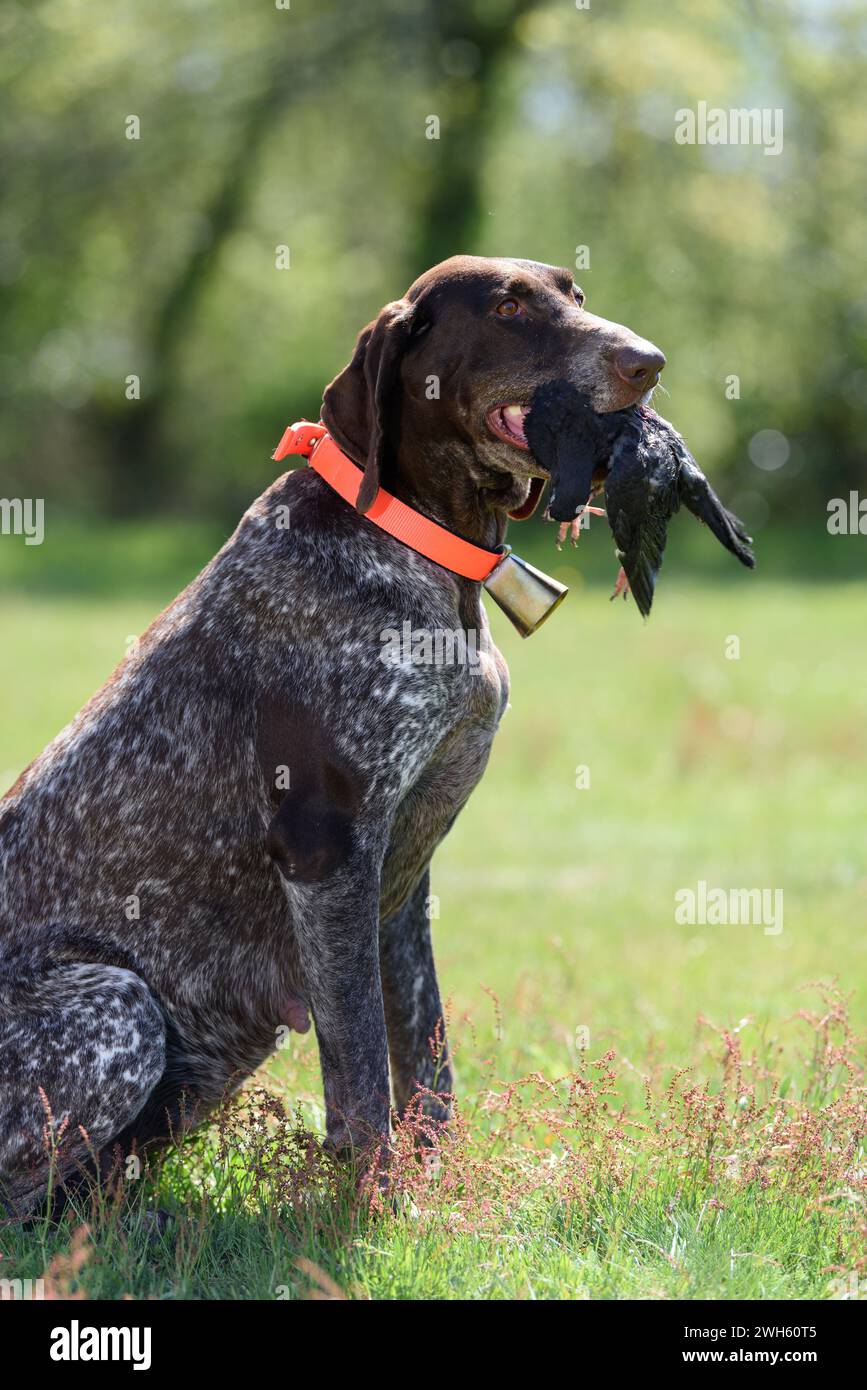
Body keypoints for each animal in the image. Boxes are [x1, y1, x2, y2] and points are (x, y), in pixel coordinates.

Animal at [0, 255, 664, 1212]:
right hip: (116, 1002)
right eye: (508, 307)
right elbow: (358, 1066)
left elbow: (423, 1054)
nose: (648, 362)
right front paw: (376, 1200)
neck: (423, 549)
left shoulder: (400, 875)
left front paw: (438, 1189)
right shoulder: (327, 852)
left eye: (574, 296)